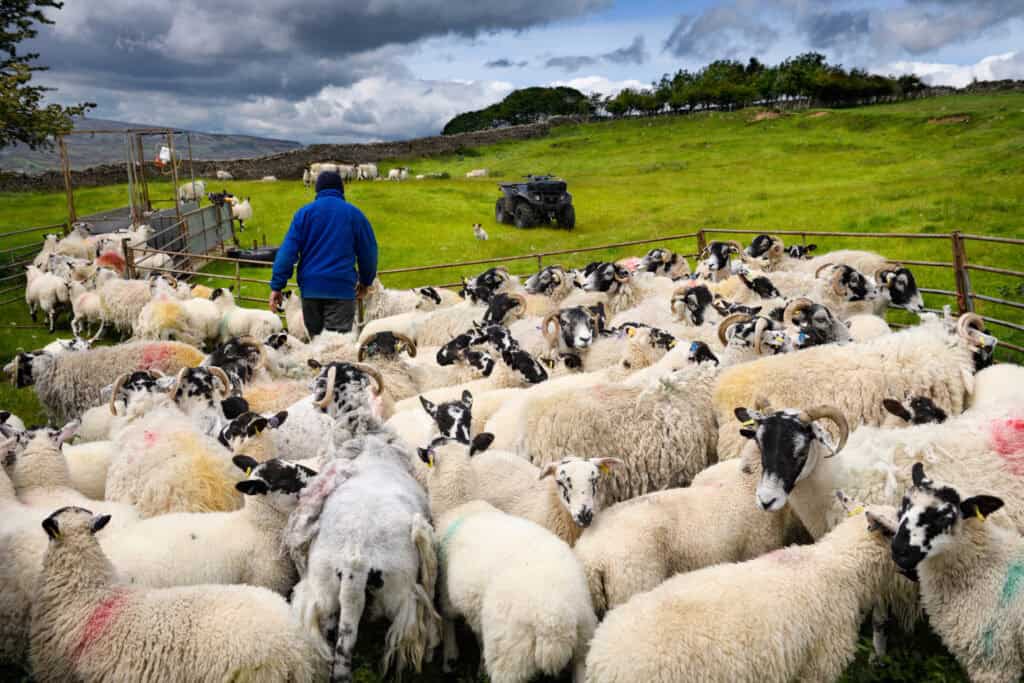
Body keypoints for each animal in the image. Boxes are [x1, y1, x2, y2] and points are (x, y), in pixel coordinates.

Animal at [424, 441, 596, 683]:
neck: (461, 506)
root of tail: (554, 623)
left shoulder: (446, 586)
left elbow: (448, 617)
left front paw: (450, 658)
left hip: (509, 657)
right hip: (583, 644)